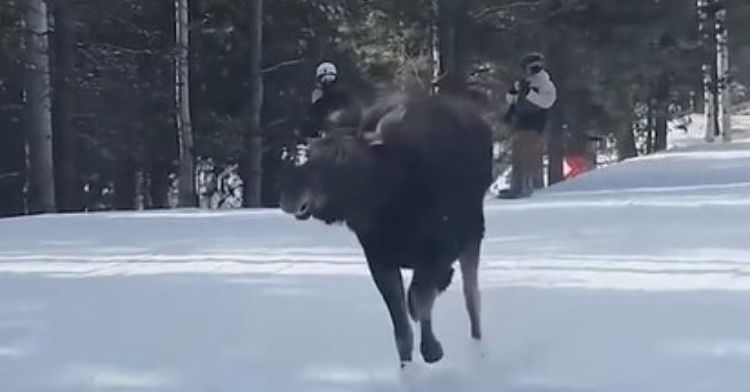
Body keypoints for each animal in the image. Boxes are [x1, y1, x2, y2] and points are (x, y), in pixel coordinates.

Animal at [280, 93, 496, 366]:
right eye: (310, 152)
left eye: (341, 154)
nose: (290, 195)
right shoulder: (380, 260)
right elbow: (402, 330)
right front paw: (407, 365)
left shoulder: (437, 251)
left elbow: (419, 300)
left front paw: (432, 349)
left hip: (473, 233)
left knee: (472, 298)